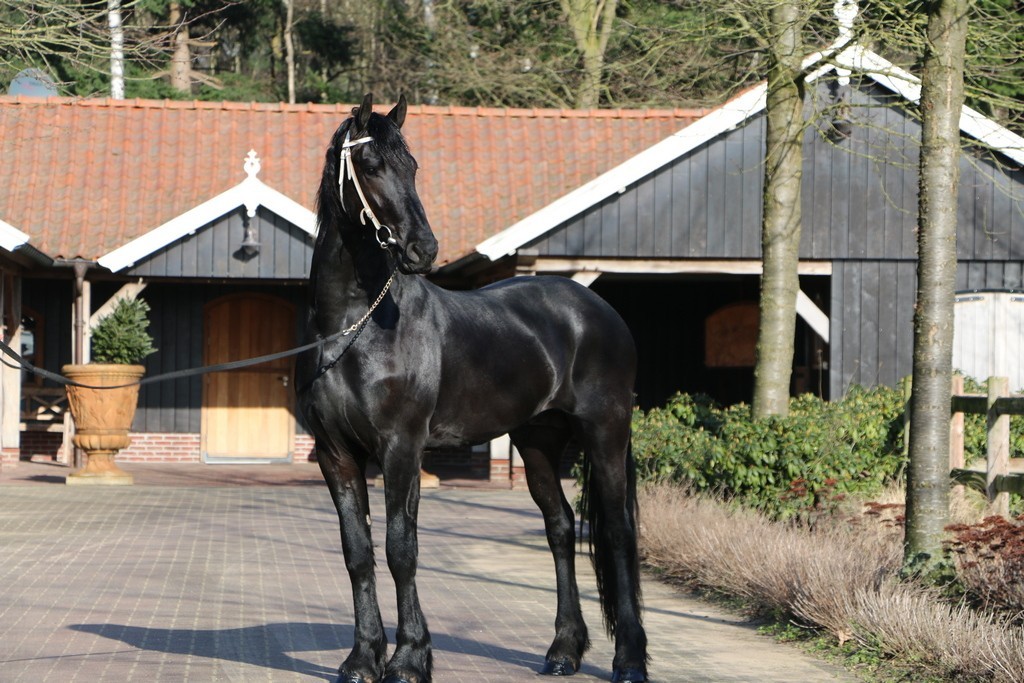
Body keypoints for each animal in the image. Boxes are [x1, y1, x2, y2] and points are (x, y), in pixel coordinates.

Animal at [295, 93, 648, 683]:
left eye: (413, 166)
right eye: (370, 165)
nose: (423, 249)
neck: (353, 327)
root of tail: (599, 309)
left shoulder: (401, 449)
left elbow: (401, 548)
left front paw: (409, 659)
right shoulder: (336, 454)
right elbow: (358, 553)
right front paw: (362, 659)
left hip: (605, 434)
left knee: (618, 533)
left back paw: (630, 661)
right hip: (537, 441)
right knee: (560, 527)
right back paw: (563, 651)